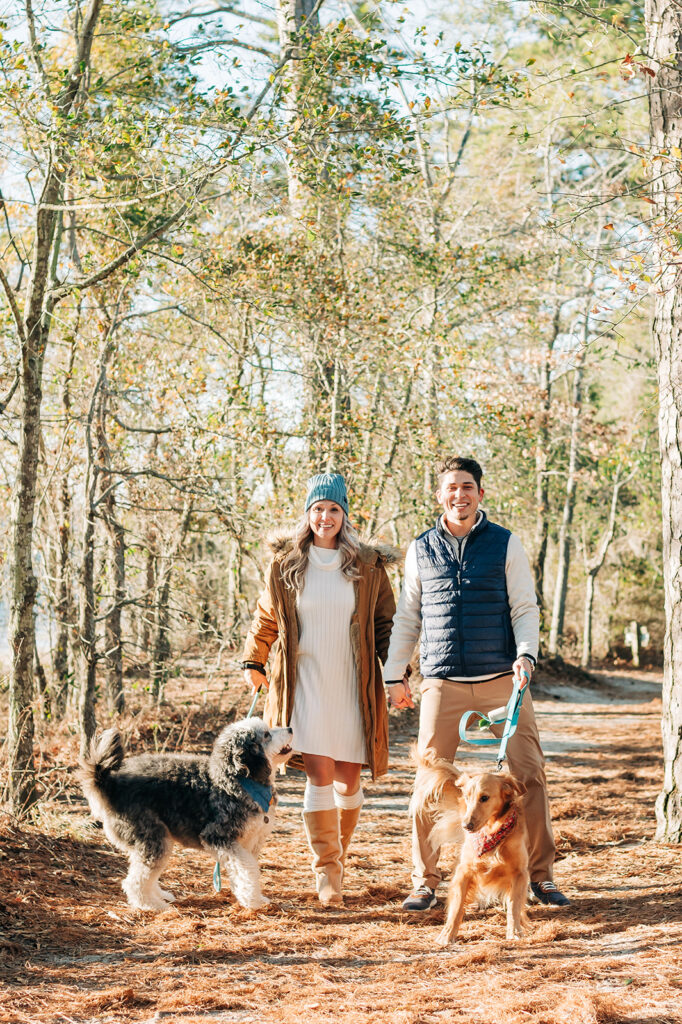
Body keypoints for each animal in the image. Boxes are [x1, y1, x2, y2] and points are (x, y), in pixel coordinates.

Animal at [79, 720, 292, 913]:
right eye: (266, 734)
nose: (290, 728)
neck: (237, 779)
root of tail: (110, 784)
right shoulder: (218, 837)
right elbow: (247, 869)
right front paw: (252, 902)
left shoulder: (249, 842)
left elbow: (247, 871)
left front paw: (254, 897)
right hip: (154, 839)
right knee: (135, 881)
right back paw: (152, 905)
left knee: (144, 873)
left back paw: (159, 896)